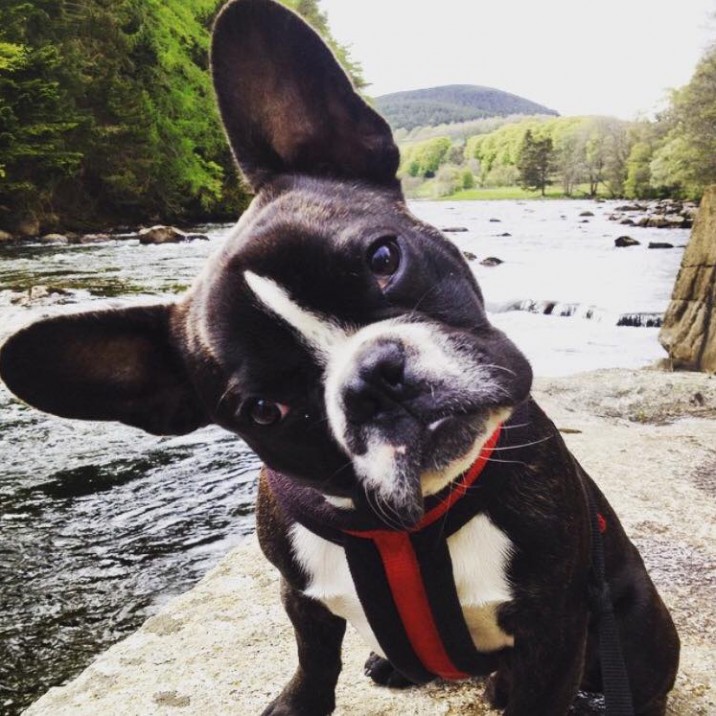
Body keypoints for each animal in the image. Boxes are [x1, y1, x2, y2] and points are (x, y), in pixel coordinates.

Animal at [0, 1, 680, 716]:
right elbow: (313, 663)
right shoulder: (303, 599)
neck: (407, 526)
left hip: (631, 624)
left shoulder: (554, 628)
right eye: (265, 410)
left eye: (383, 257)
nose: (376, 379)